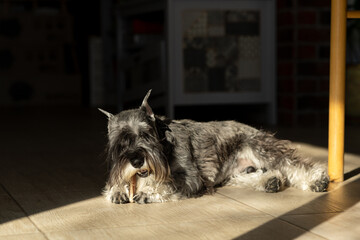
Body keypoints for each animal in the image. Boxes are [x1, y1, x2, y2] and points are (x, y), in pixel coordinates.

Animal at [99, 91, 330, 203]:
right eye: (120, 143)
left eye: (146, 135)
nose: (137, 161)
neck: (164, 144)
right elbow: (119, 180)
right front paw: (117, 190)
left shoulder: (190, 177)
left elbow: (167, 184)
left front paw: (149, 193)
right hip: (235, 171)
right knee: (248, 176)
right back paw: (270, 181)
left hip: (262, 149)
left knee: (291, 164)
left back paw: (317, 180)